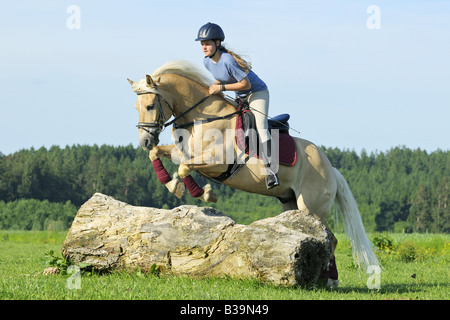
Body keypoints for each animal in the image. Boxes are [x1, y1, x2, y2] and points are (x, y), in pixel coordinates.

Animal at [127, 60, 380, 288]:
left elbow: (184, 168)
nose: (144, 141)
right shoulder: (183, 154)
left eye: (150, 106)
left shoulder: (218, 162)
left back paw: (330, 281)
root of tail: (330, 168)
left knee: (330, 239)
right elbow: (159, 155)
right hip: (291, 204)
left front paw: (204, 193)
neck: (203, 117)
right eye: (136, 108)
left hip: (312, 207)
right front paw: (172, 184)